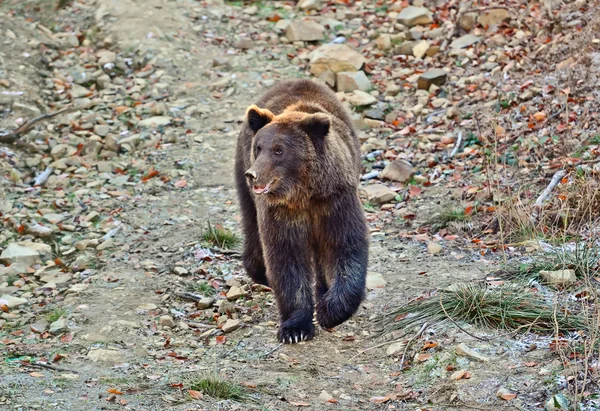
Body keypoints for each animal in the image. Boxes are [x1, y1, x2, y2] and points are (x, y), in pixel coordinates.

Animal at [236, 78, 370, 344]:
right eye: (259, 147)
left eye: (279, 149)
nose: (253, 174)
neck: (303, 193)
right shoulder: (280, 212)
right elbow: (286, 257)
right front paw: (295, 329)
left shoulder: (334, 201)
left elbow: (345, 245)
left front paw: (330, 310)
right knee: (252, 227)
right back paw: (260, 272)